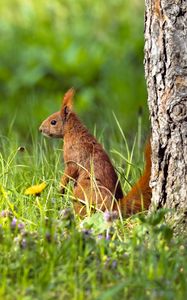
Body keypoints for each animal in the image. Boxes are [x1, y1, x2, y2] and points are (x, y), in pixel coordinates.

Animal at [39, 88, 152, 217]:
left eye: (53, 122)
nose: (40, 129)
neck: (74, 132)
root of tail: (113, 208)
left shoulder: (73, 159)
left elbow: (68, 173)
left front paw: (60, 189)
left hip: (83, 192)